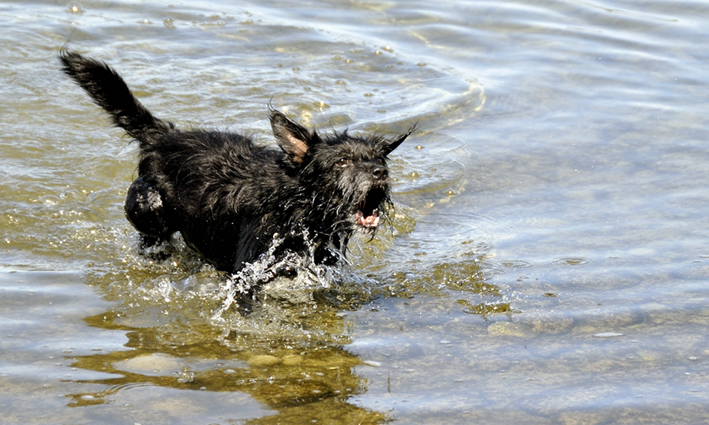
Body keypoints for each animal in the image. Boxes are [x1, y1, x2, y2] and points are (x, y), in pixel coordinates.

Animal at [60, 49, 414, 274]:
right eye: (341, 162)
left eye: (379, 160)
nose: (379, 173)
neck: (296, 204)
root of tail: (164, 136)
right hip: (150, 209)